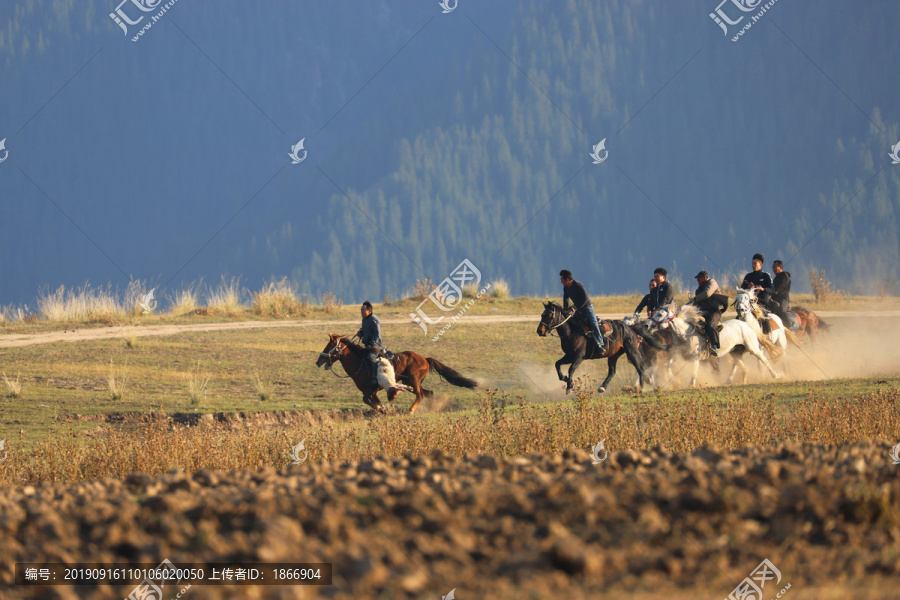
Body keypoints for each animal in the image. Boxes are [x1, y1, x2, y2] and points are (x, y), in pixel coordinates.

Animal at [316, 332, 478, 412]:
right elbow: (372, 401)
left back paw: (411, 410)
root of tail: (425, 359)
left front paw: (382, 409)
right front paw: (384, 409)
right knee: (428, 393)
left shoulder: (371, 388)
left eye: (329, 346)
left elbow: (367, 400)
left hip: (413, 379)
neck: (359, 363)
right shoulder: (372, 391)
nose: (318, 361)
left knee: (420, 395)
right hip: (408, 381)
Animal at [536, 300, 668, 394]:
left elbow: (571, 369)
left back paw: (641, 387)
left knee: (640, 367)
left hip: (631, 351)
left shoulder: (579, 357)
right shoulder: (569, 356)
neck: (573, 331)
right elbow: (557, 364)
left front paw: (569, 386)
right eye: (542, 314)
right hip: (614, 355)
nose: (540, 331)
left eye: (549, 315)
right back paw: (602, 387)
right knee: (612, 371)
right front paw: (564, 378)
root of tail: (630, 327)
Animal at [640, 308, 780, 386]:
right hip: (735, 352)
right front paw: (673, 379)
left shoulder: (695, 358)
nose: (646, 325)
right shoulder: (677, 354)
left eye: (660, 314)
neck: (686, 334)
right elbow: (668, 365)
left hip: (753, 348)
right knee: (744, 367)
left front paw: (692, 384)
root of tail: (745, 324)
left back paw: (776, 376)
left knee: (764, 360)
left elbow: (694, 372)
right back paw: (742, 381)